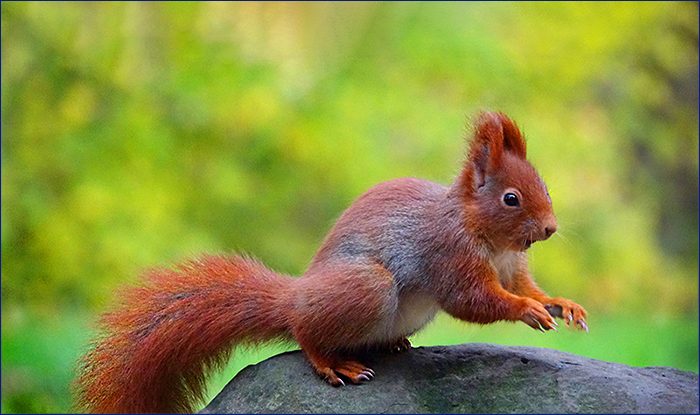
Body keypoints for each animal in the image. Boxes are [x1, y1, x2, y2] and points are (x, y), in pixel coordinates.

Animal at [73, 111, 587, 414]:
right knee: (306, 335)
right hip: (365, 287)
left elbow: (525, 287)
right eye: (510, 198)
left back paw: (392, 344)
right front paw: (526, 311)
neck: (491, 239)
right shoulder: (447, 253)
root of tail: (296, 297)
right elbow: (473, 300)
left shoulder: (512, 265)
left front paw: (560, 304)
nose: (550, 228)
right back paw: (334, 364)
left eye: (543, 183)